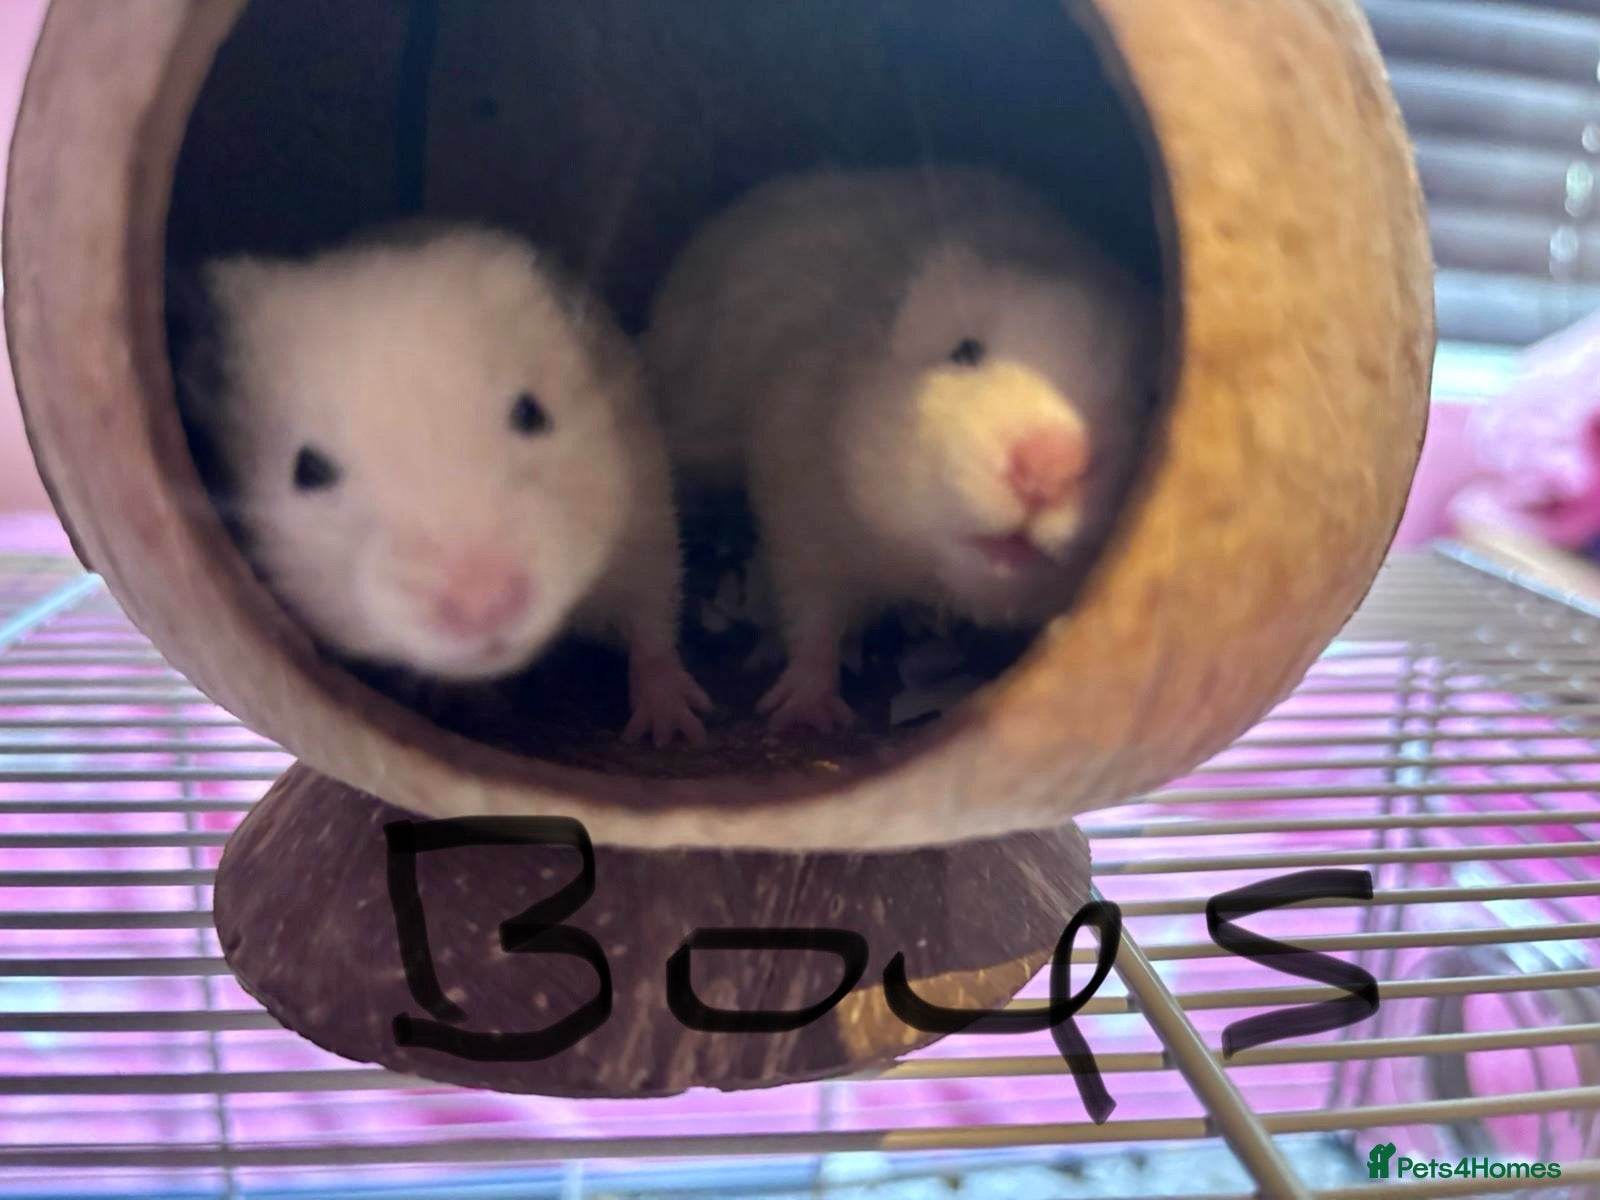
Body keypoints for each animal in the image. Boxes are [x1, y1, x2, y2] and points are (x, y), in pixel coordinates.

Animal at [175, 223, 710, 745]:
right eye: (307, 471)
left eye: (531, 413)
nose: (486, 606)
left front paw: (672, 729)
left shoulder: (646, 514)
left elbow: (652, 619)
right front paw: (466, 704)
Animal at [644, 166, 1156, 733]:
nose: (1047, 470)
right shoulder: (802, 506)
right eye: (965, 352)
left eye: (1147, 398)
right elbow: (812, 613)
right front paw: (806, 716)